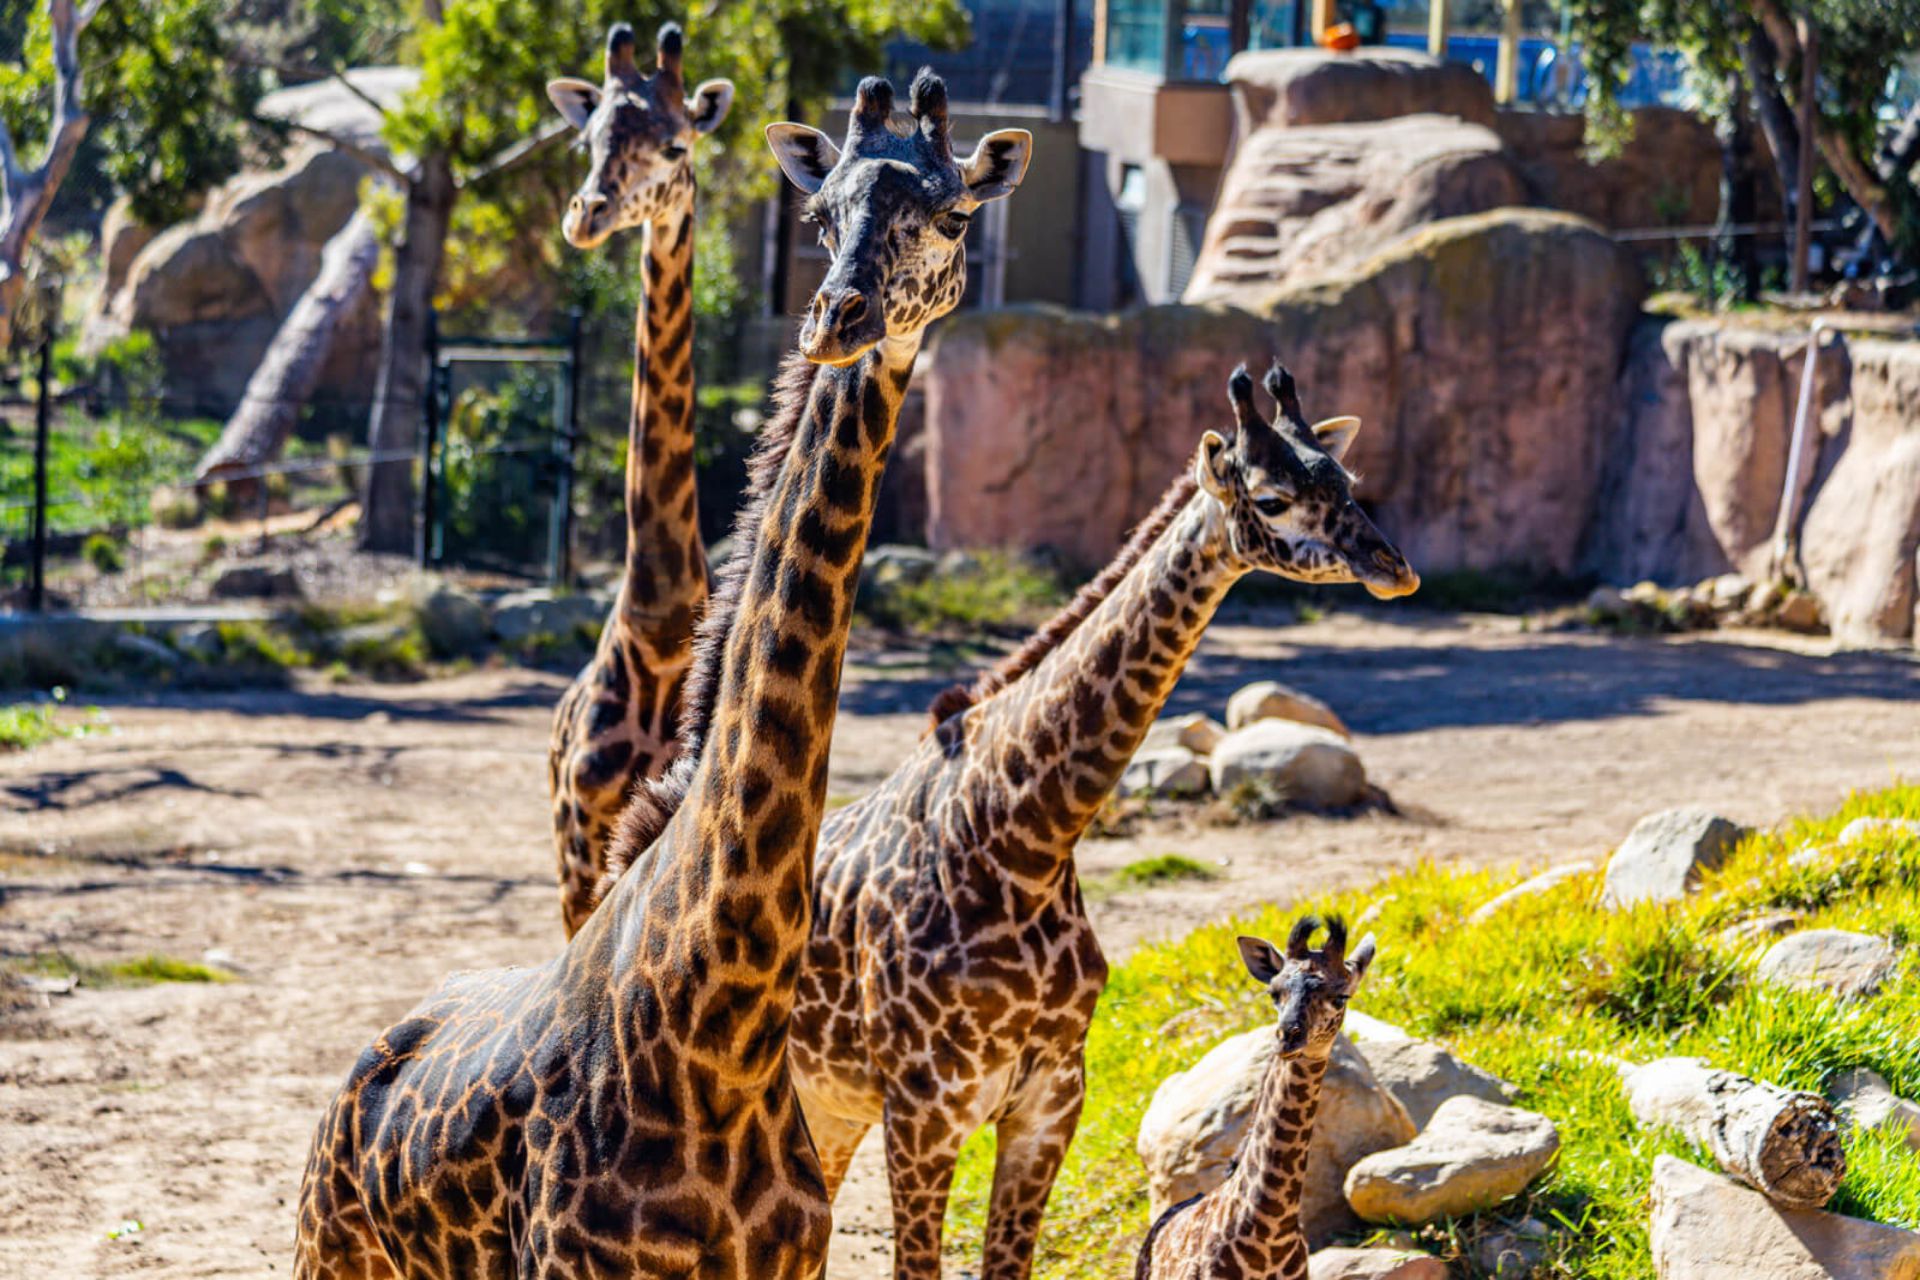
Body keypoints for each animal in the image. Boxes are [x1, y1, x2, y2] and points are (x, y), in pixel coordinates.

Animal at [291, 71, 1032, 1279]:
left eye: (954, 214)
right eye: (820, 213)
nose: (840, 318)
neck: (720, 1020)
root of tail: (356, 1081)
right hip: (325, 1252)